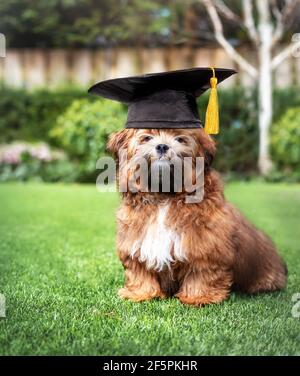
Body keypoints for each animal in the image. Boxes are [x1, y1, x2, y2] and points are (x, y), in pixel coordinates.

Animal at [106, 127, 288, 306]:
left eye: (180, 139)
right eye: (146, 138)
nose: (162, 146)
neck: (164, 196)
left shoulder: (205, 246)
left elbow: (201, 272)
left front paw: (198, 297)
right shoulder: (135, 242)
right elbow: (140, 271)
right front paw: (141, 294)